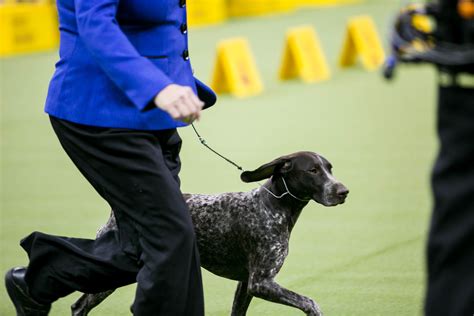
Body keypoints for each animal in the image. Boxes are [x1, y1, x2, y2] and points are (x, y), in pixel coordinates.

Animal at [72, 152, 350, 314]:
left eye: (330, 168)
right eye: (312, 170)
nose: (343, 191)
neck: (272, 206)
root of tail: (118, 212)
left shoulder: (246, 284)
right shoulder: (261, 282)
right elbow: (309, 302)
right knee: (79, 305)